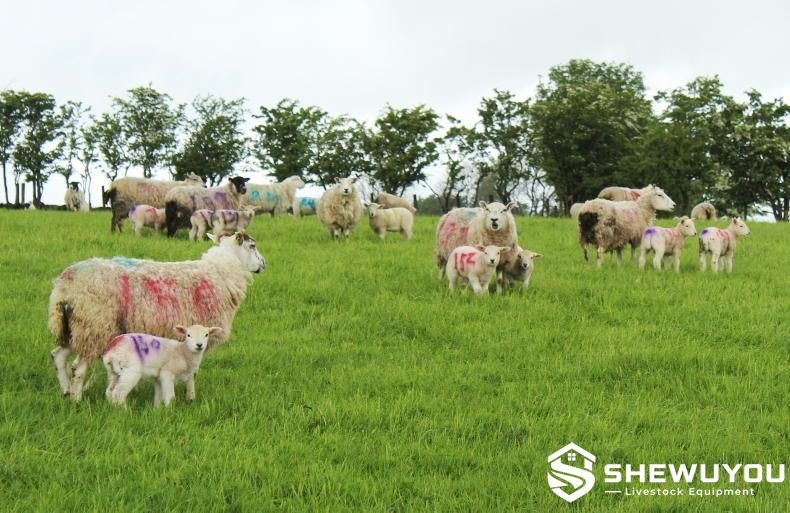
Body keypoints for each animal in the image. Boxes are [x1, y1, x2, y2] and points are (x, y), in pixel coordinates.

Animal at [48, 231, 265, 401]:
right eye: (252, 245)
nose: (264, 264)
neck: (221, 272)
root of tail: (65, 284)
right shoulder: (198, 335)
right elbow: (193, 372)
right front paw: (191, 398)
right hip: (94, 326)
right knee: (77, 368)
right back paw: (76, 399)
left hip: (73, 328)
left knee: (58, 356)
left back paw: (65, 391)